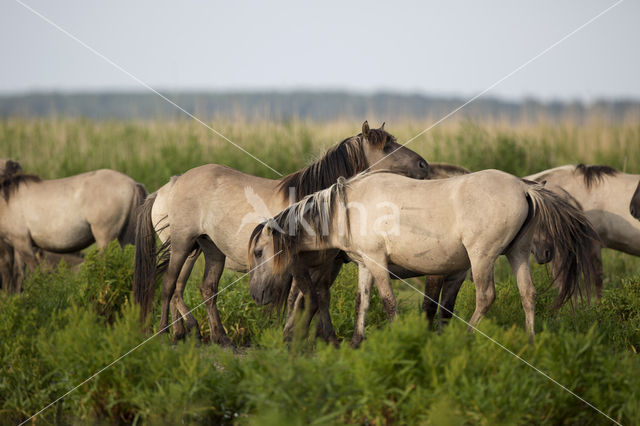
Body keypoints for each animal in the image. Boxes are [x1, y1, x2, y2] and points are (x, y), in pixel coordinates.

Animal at [0, 159, 146, 290]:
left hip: (105, 238)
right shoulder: (18, 245)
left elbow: (32, 273)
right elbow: (18, 275)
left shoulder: (22, 243)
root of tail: (133, 184)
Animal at [131, 121, 430, 344]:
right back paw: (166, 333)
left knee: (203, 289)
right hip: (182, 245)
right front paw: (295, 336)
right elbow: (299, 299)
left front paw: (323, 338)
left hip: (208, 248)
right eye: (386, 146)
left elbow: (318, 297)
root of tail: (171, 184)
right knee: (170, 286)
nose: (424, 165)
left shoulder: (327, 264)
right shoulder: (298, 264)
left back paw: (214, 337)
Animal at [249, 168, 600, 344]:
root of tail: (524, 188)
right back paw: (529, 341)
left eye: (258, 252)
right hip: (518, 254)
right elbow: (363, 302)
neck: (347, 208)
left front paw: (399, 336)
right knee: (529, 294)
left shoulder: (378, 263)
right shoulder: (365, 264)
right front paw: (357, 342)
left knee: (486, 297)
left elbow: (388, 302)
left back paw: (465, 338)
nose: (256, 295)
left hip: (482, 257)